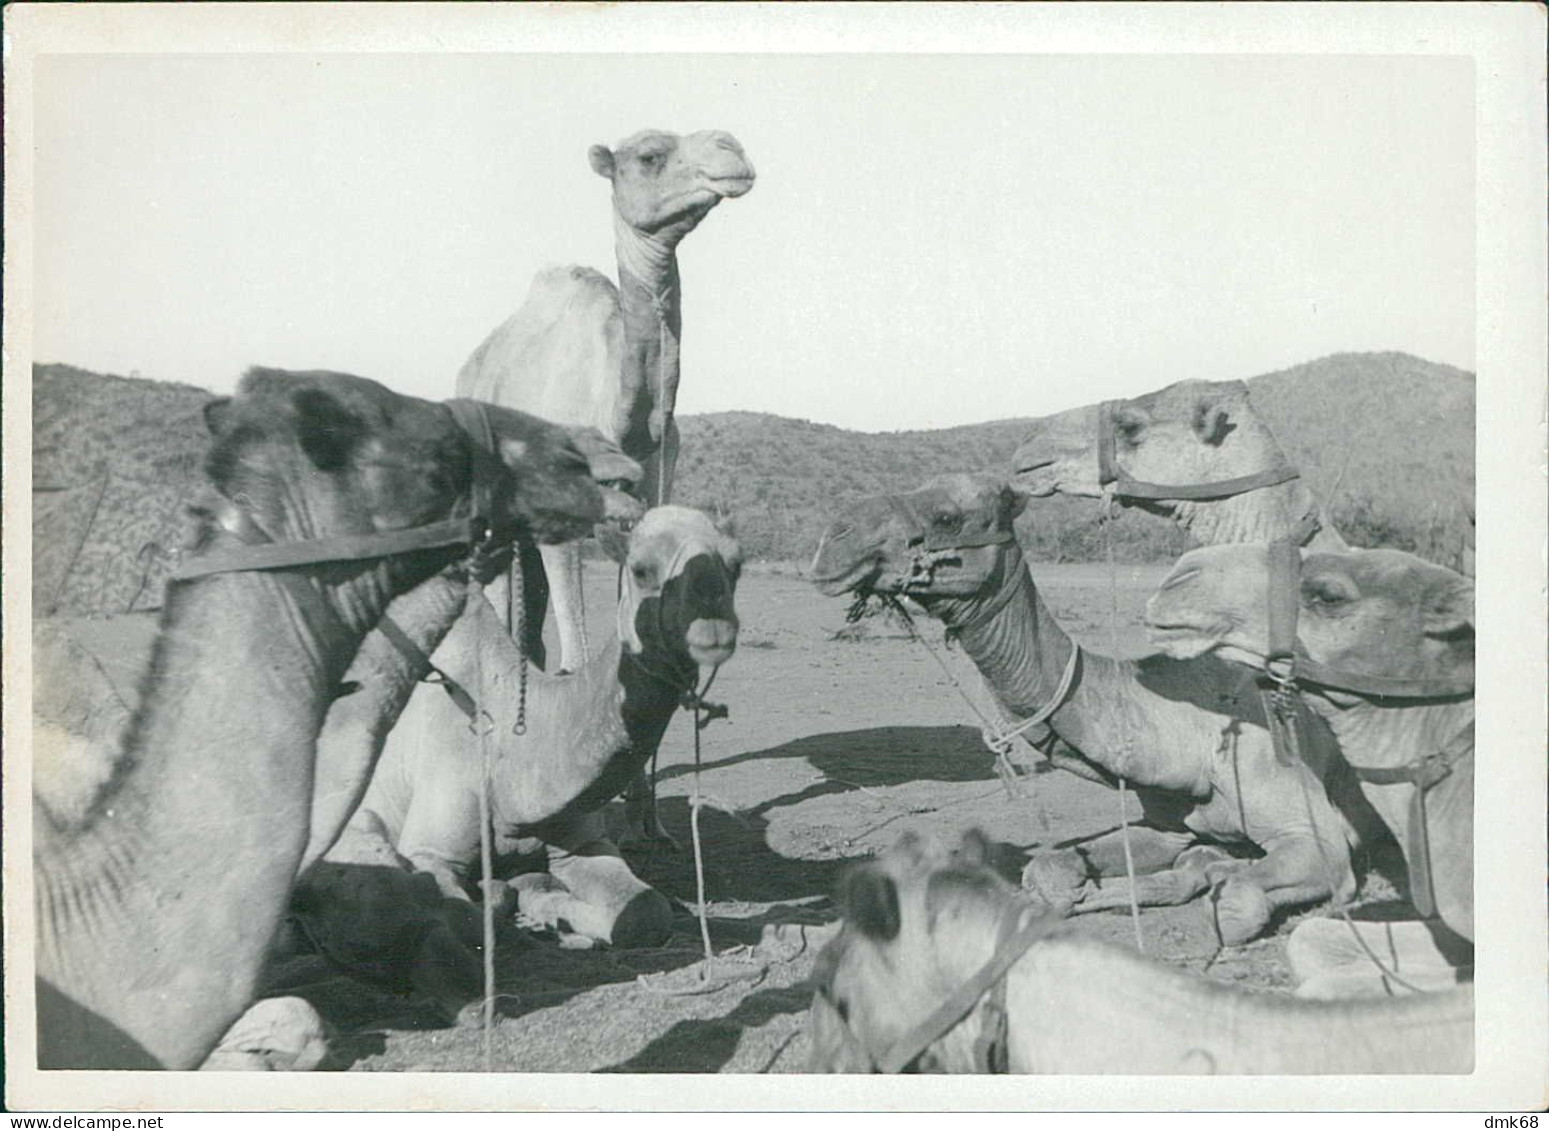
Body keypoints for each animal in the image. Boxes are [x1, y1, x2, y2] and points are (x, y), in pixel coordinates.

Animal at [292, 505, 742, 1014]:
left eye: (736, 565)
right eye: (642, 570)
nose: (714, 631)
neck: (510, 745)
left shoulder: (583, 841)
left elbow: (647, 913)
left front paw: (559, 915)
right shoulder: (431, 847)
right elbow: (467, 911)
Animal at [808, 474, 1378, 946]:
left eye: (947, 516)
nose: (832, 539)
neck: (1190, 731)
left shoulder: (1316, 835)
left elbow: (1240, 902)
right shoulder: (1167, 821)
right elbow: (1049, 869)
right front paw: (1079, 893)